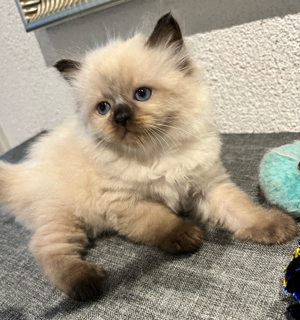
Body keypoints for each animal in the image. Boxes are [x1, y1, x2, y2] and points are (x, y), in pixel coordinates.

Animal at [0, 13, 296, 302]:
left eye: (142, 94)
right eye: (103, 108)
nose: (120, 117)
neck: (156, 153)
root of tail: (25, 171)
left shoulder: (207, 187)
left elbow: (243, 211)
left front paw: (277, 227)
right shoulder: (128, 204)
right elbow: (161, 222)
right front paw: (187, 236)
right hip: (64, 217)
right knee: (47, 250)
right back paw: (85, 283)